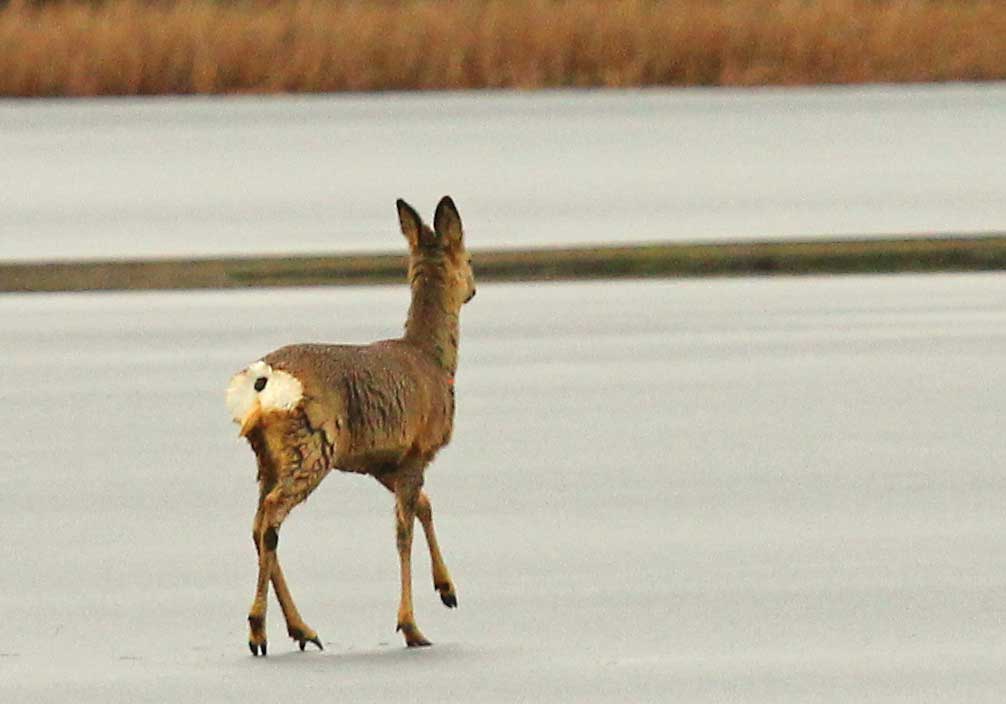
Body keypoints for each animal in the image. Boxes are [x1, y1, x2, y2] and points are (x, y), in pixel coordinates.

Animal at [225, 194, 474, 655]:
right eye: (470, 257)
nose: (472, 288)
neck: (432, 360)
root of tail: (264, 381)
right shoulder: (417, 449)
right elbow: (402, 533)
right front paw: (411, 626)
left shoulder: (380, 461)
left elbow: (424, 506)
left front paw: (447, 590)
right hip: (312, 447)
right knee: (270, 520)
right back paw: (261, 630)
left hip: (267, 457)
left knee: (257, 523)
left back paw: (299, 630)